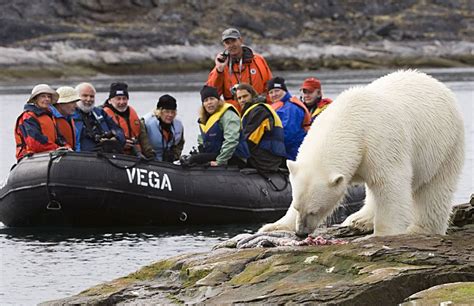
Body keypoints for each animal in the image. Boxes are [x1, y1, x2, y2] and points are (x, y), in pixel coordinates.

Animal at [260, 70, 462, 237]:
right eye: (296, 207)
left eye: (314, 211)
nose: (301, 233)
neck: (349, 120)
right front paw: (272, 226)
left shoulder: (381, 141)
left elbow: (390, 183)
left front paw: (385, 233)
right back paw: (359, 219)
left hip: (445, 145)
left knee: (434, 190)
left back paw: (420, 229)